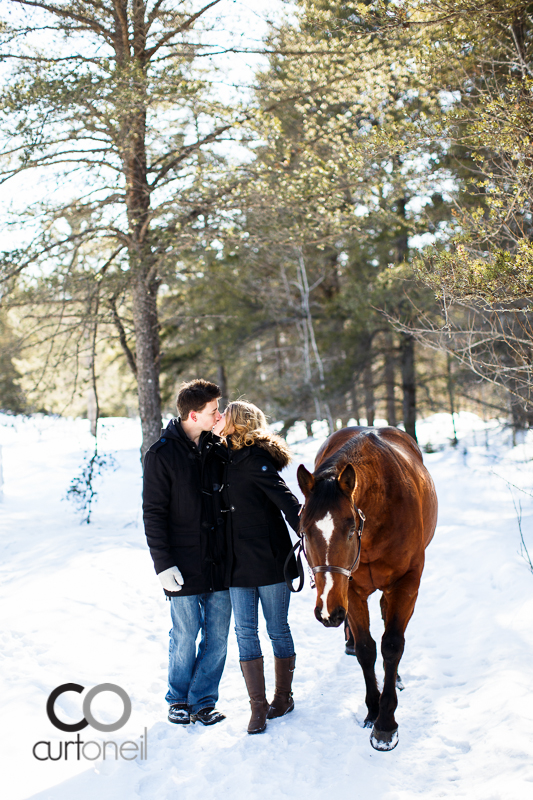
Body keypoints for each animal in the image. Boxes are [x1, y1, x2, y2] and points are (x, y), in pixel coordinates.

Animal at [296, 424, 436, 752]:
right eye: (303, 530)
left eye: (350, 527)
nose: (327, 612)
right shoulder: (350, 591)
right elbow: (366, 650)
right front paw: (373, 711)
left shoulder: (406, 583)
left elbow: (392, 645)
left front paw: (386, 724)